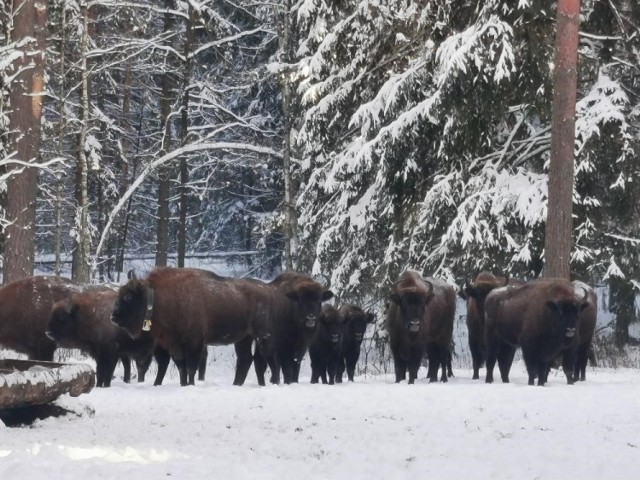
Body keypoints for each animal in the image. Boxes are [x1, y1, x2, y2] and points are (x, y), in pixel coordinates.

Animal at [109, 268, 278, 388]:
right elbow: (182, 368)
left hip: (262, 336)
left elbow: (191, 368)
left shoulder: (194, 343)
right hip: (243, 338)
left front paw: (190, 385)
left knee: (269, 358)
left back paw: (274, 382)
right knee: (246, 360)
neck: (158, 297)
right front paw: (184, 385)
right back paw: (237, 385)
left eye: (128, 297)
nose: (113, 316)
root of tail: (268, 290)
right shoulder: (175, 345)